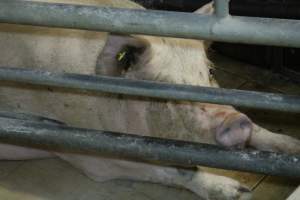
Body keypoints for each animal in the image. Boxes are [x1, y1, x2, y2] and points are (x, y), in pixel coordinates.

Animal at [0, 0, 300, 199]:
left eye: (210, 71)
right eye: (162, 86)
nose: (234, 121)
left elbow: (262, 131)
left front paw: (294, 147)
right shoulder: (84, 149)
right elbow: (174, 170)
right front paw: (239, 192)